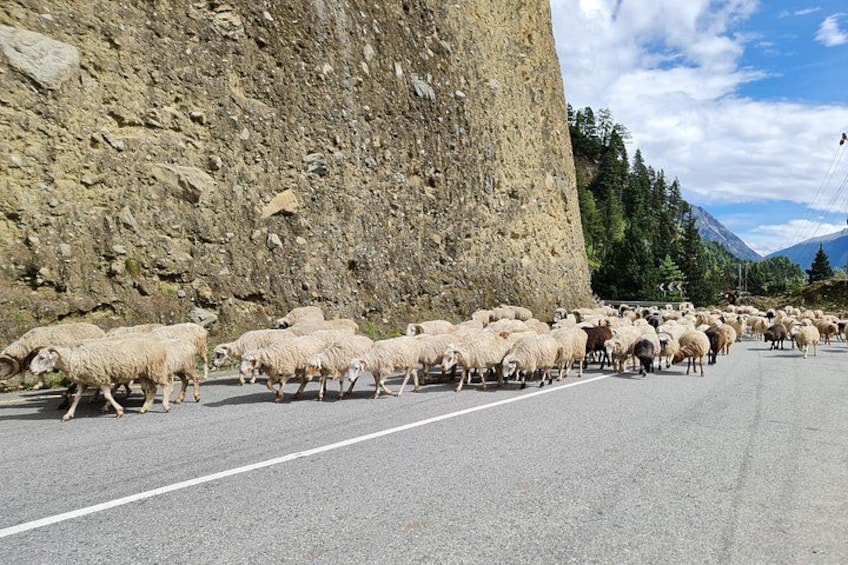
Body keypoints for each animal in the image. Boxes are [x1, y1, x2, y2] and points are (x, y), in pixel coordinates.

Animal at [28, 336, 173, 421]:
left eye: (42, 358)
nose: (31, 370)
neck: (75, 359)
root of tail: (159, 345)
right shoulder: (84, 381)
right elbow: (76, 398)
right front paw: (68, 415)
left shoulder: (101, 378)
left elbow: (108, 395)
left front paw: (119, 411)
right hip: (144, 374)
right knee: (153, 390)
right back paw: (144, 408)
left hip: (155, 369)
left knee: (165, 385)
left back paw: (165, 406)